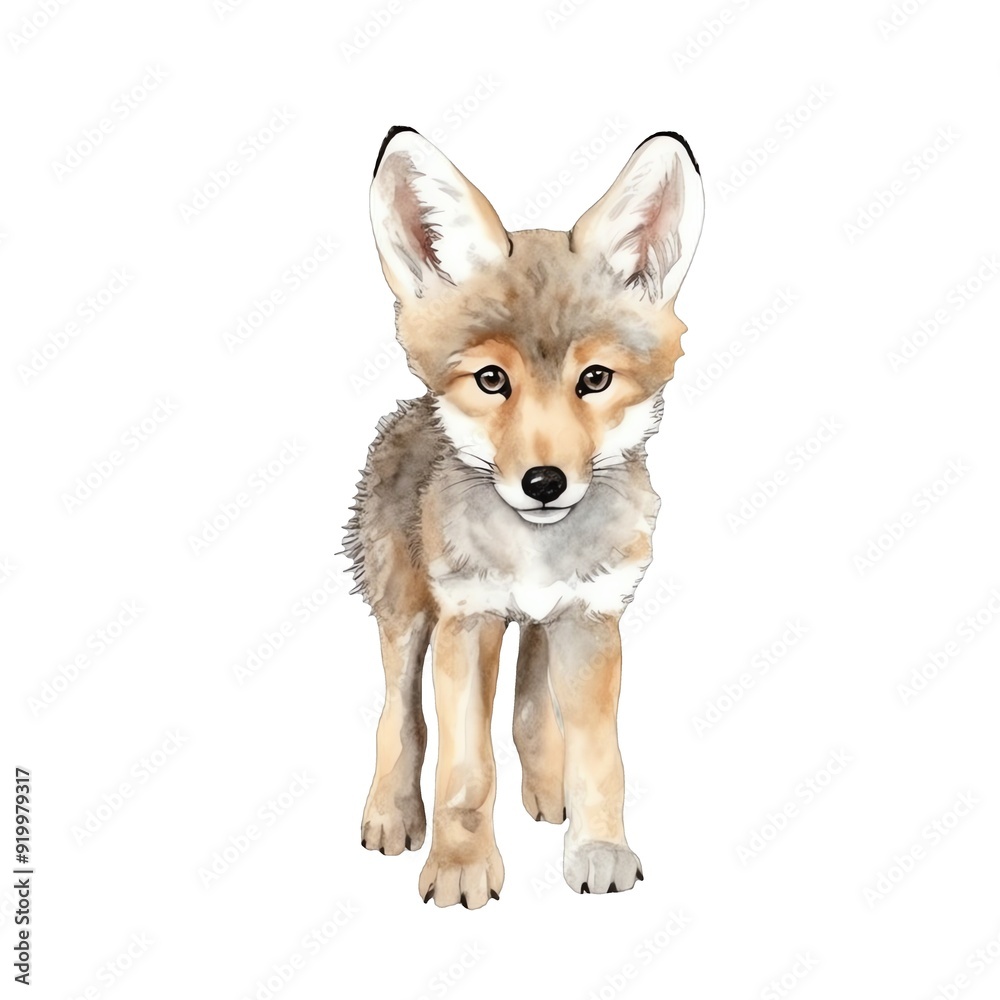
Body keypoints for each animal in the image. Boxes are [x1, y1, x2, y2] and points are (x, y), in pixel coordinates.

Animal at [344, 125, 704, 908]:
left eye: (594, 379)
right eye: (491, 379)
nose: (544, 483)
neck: (535, 554)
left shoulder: (592, 617)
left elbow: (600, 758)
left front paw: (599, 849)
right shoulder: (466, 618)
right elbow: (463, 771)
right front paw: (458, 866)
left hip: (545, 628)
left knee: (531, 706)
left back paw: (546, 791)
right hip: (406, 612)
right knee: (398, 718)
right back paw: (391, 812)